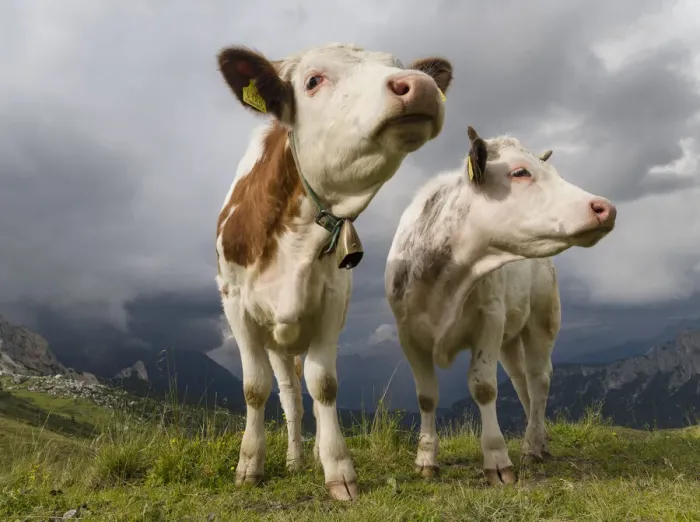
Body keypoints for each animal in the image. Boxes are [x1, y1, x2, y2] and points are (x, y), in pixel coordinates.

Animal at [215, 42, 453, 501]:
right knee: (289, 397)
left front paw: (338, 471)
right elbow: (255, 389)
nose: (420, 86)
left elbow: (324, 385)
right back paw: (292, 459)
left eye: (398, 67)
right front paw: (249, 465)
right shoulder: (236, 306)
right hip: (277, 342)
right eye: (313, 80)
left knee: (300, 392)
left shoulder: (331, 304)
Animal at [385, 126, 617, 486]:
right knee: (522, 382)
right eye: (519, 172)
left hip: (542, 321)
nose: (605, 207)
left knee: (538, 379)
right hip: (509, 338)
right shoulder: (408, 333)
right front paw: (425, 459)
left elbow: (484, 388)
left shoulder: (489, 321)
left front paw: (496, 459)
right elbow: (426, 395)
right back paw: (540, 439)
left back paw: (531, 446)